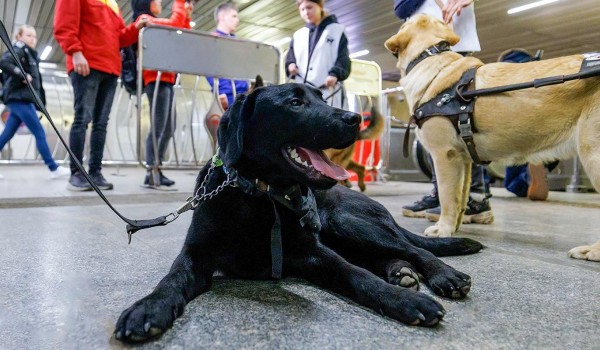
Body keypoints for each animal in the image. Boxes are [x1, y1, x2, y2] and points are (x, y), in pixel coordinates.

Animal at [113, 82, 482, 342]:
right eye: (294, 103)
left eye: (321, 97)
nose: (354, 119)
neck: (260, 196)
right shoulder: (196, 254)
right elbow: (170, 280)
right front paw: (147, 307)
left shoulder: (312, 252)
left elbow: (356, 275)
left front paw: (399, 300)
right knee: (386, 256)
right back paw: (401, 272)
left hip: (349, 223)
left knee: (413, 248)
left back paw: (441, 275)